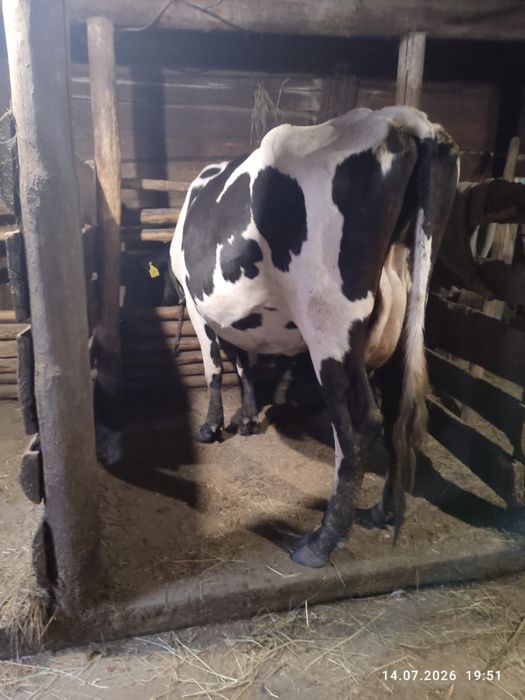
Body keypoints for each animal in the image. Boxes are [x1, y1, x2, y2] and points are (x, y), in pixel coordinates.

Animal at [170, 106, 459, 568]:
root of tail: (397, 119)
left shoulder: (198, 309)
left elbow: (215, 366)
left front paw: (212, 426)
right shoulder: (244, 321)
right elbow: (245, 364)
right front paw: (246, 419)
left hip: (329, 324)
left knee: (357, 428)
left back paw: (321, 541)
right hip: (402, 316)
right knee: (397, 412)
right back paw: (380, 512)